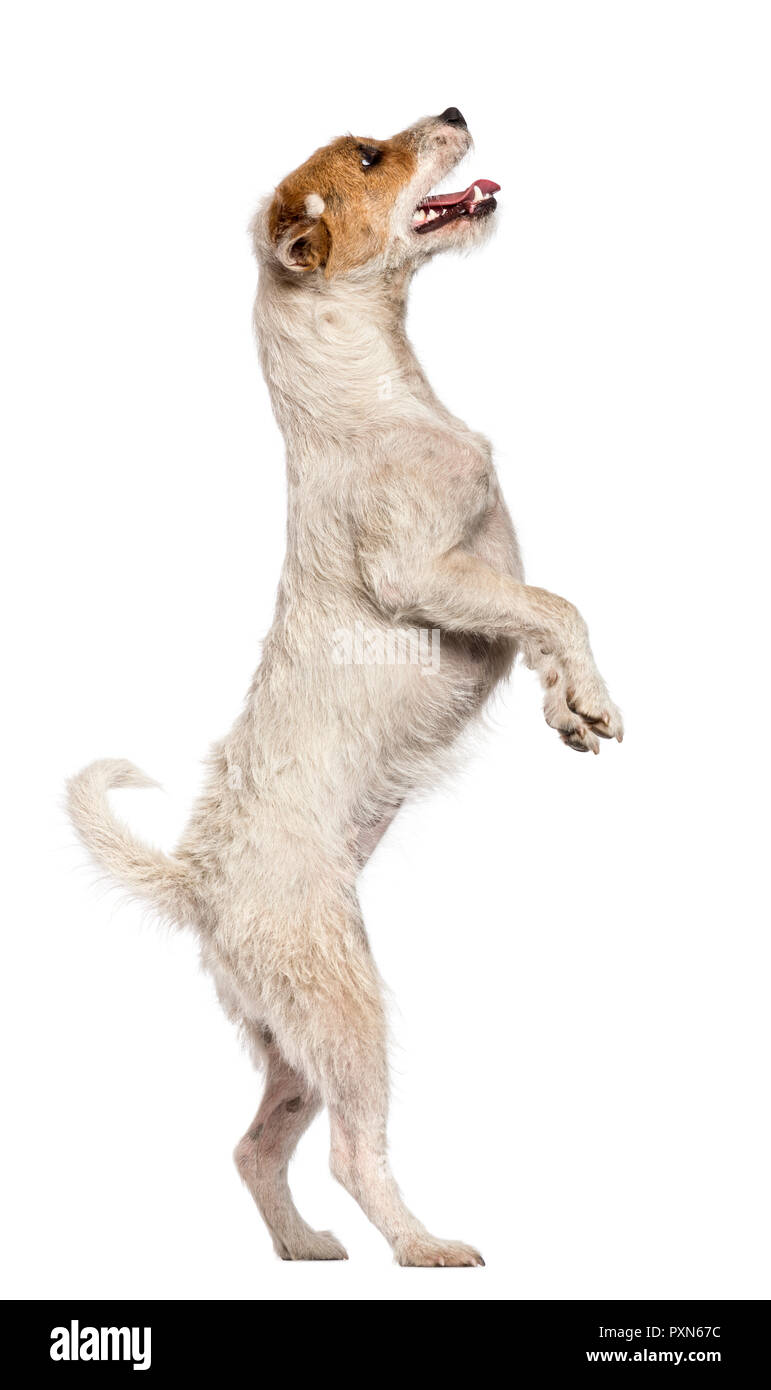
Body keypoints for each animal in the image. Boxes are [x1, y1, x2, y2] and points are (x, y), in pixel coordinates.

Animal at [69, 102, 625, 1267]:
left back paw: (304, 1247)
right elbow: (558, 605)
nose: (453, 110)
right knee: (351, 1154)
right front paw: (594, 697)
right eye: (369, 157)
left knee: (255, 1147)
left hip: (294, 1039)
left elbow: (545, 622)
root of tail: (197, 881)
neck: (374, 389)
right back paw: (423, 1246)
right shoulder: (430, 579)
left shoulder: (485, 586)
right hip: (348, 1008)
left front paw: (568, 708)